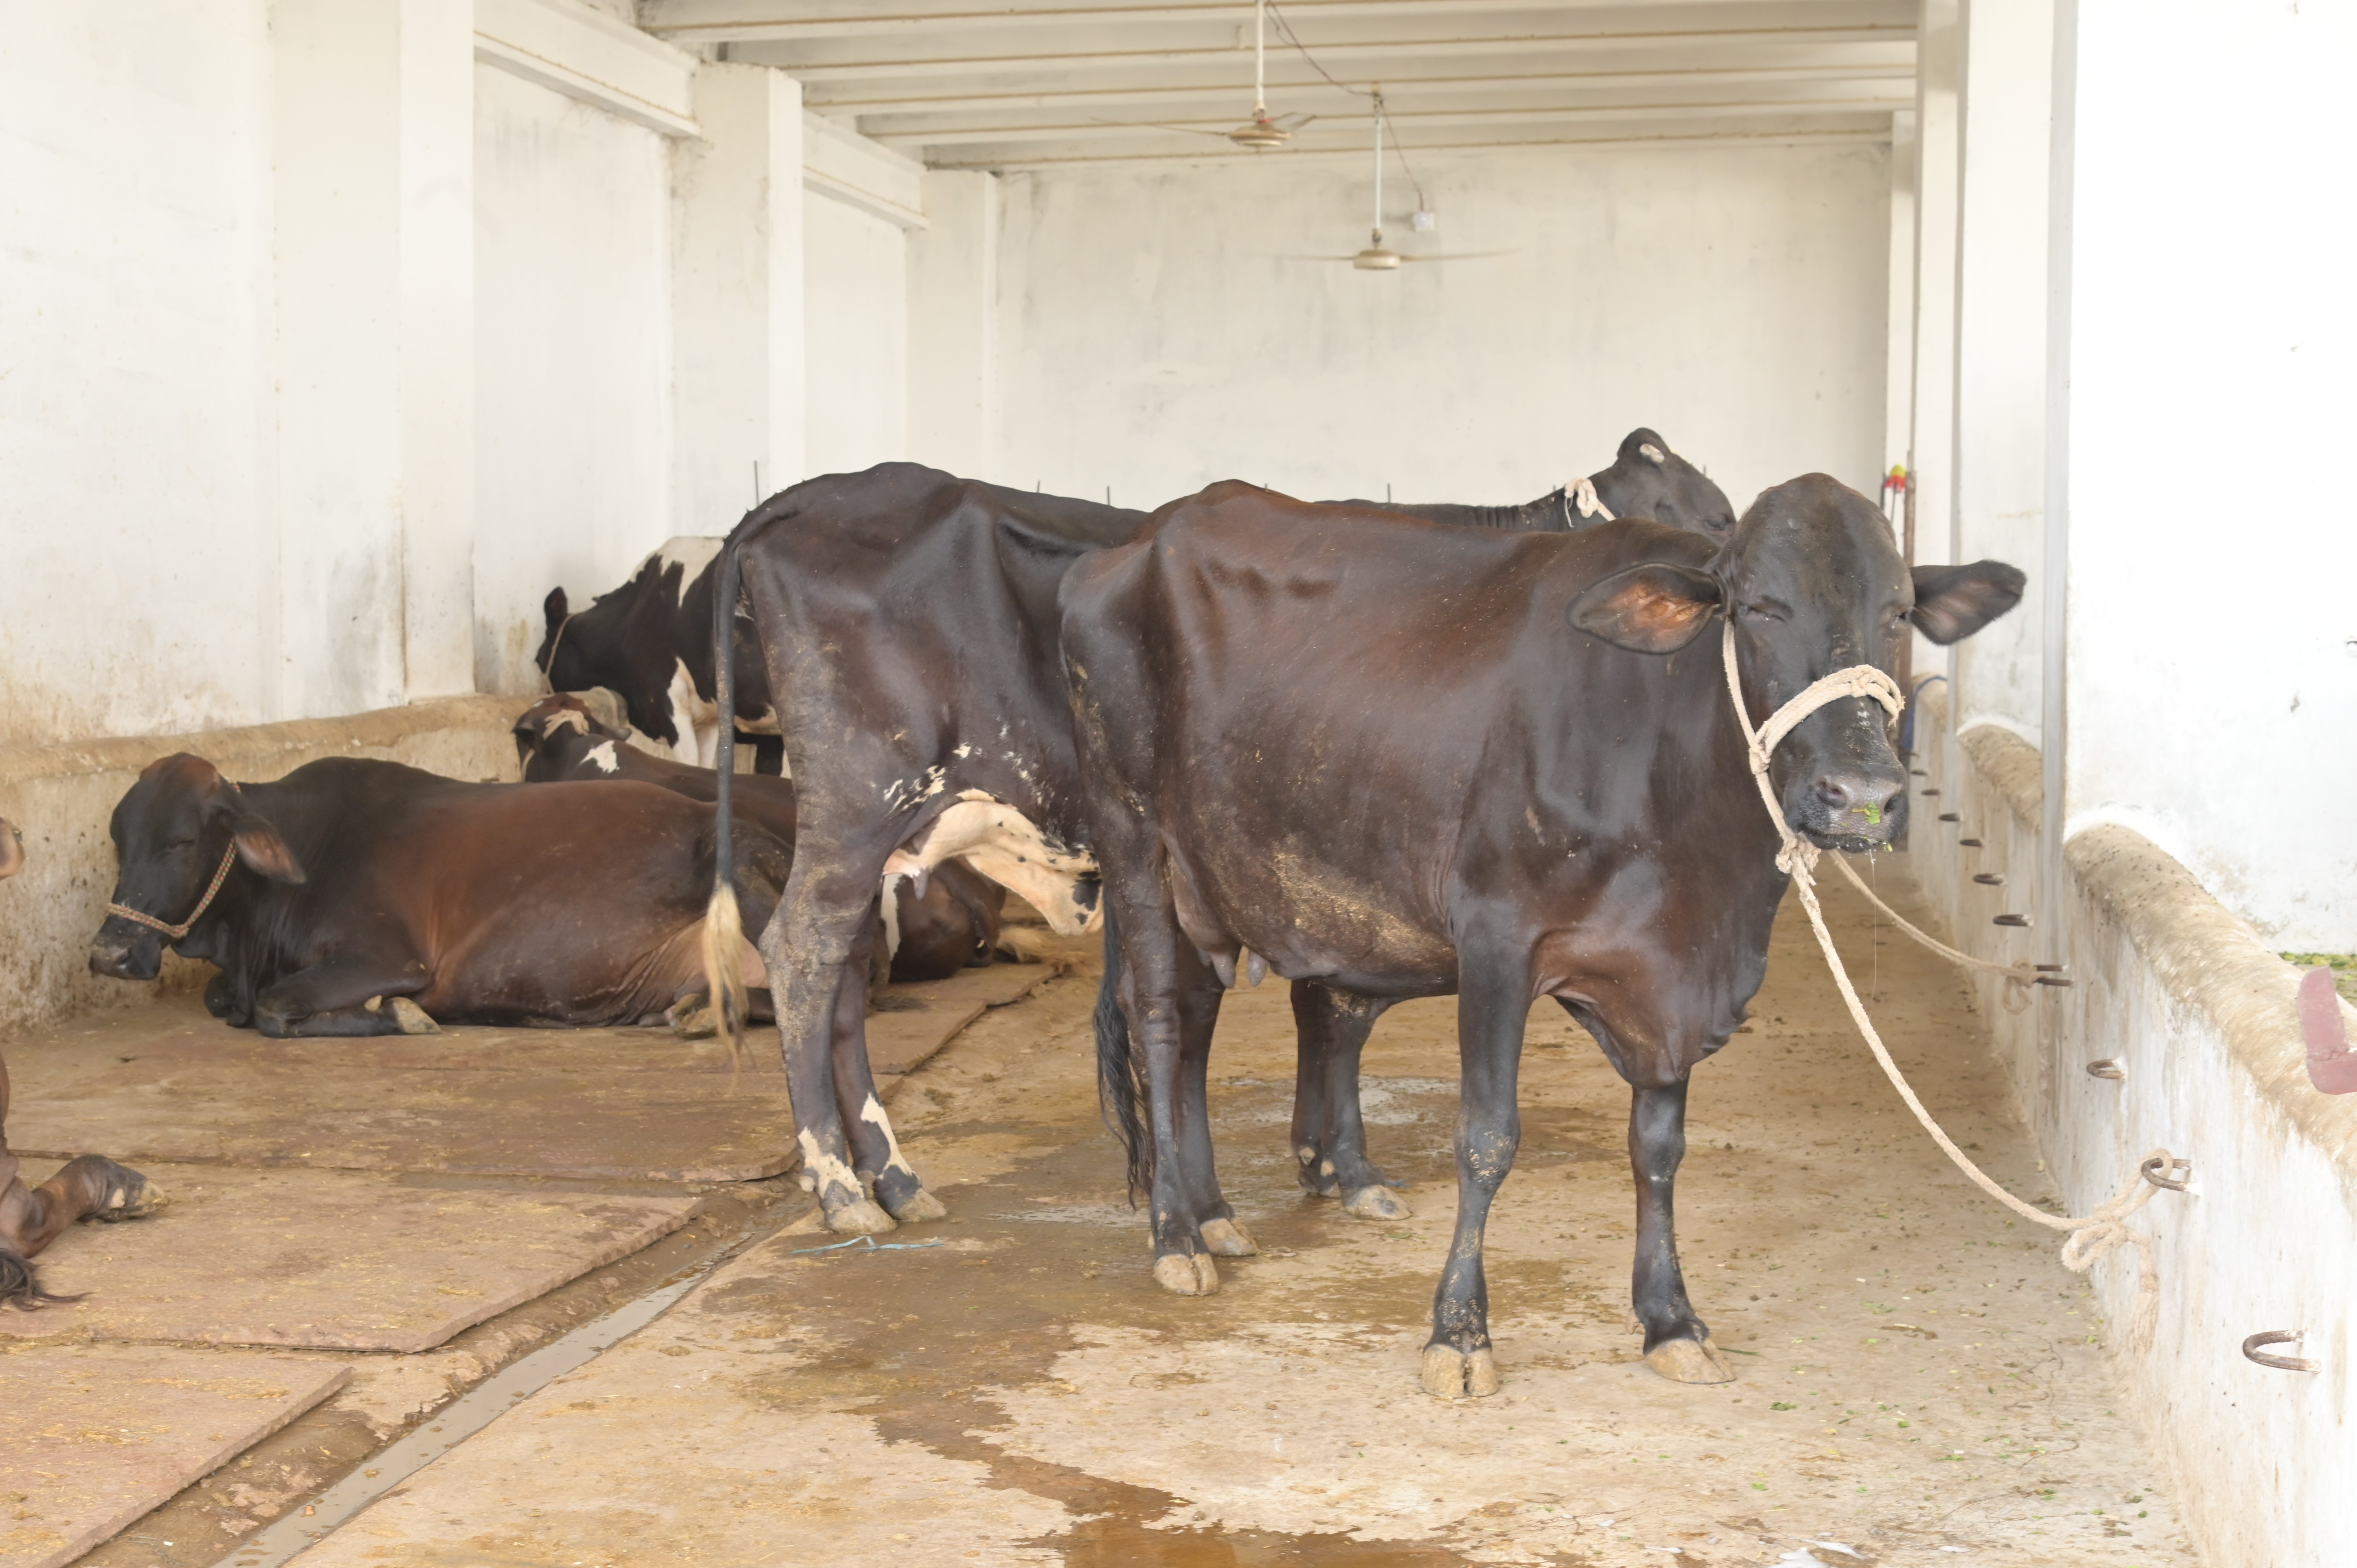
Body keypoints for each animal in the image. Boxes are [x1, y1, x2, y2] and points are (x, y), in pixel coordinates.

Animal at [87, 756, 788, 1038]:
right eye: (118, 840)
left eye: (180, 841)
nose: (109, 954)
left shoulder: (389, 956)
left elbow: (274, 1006)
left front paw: (401, 1015)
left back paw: (701, 1010)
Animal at [1059, 474, 2023, 1399]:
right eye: (1757, 606)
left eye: (1898, 611)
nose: (1859, 795)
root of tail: (1135, 542)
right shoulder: (1496, 936)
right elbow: (1487, 1138)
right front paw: (1457, 1332)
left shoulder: (1669, 978)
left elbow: (1658, 1149)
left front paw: (1671, 1319)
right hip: (1136, 837)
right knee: (1161, 1020)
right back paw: (1176, 1233)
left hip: (1214, 875)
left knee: (1202, 1018)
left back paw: (1217, 1211)